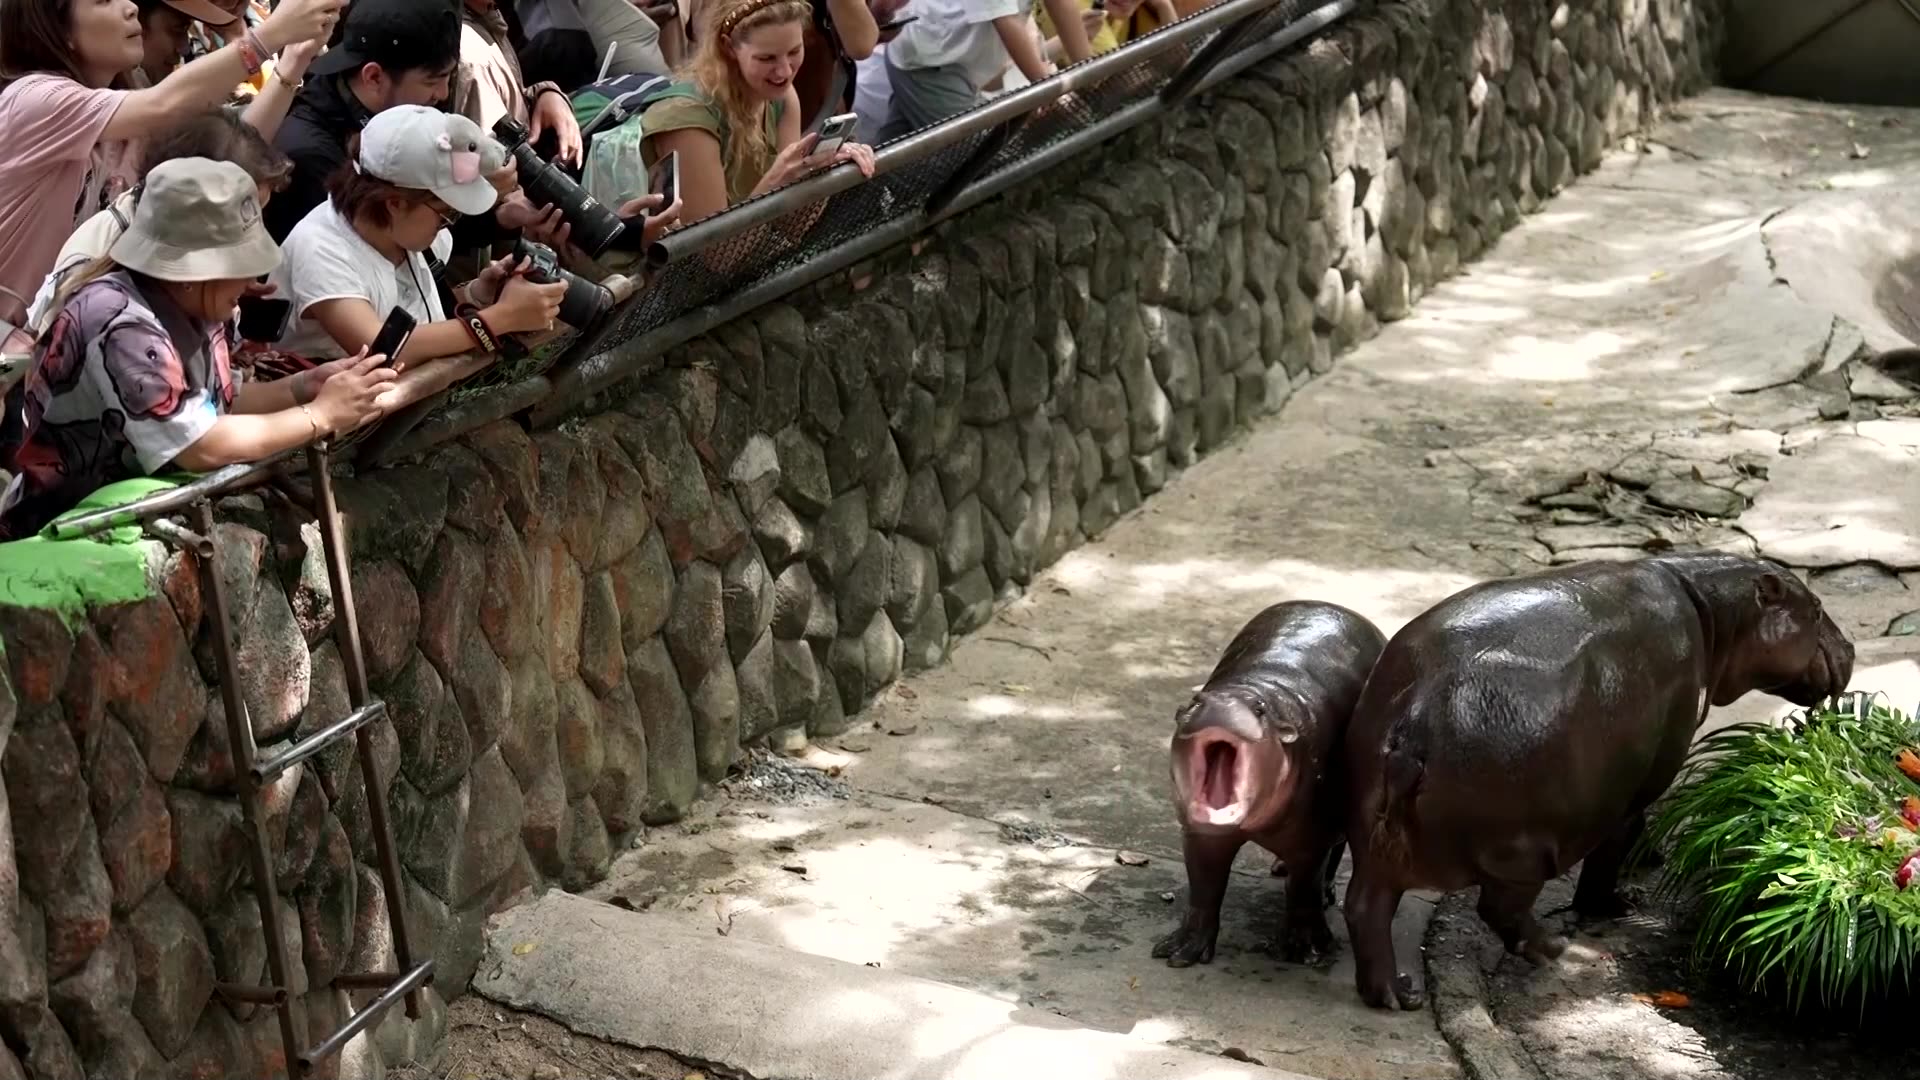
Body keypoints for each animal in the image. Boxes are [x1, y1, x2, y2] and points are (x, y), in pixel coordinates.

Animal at [1153, 600, 1387, 967]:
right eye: (1194, 702)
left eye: (1259, 709)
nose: (1219, 704)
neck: (1253, 686)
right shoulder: (1200, 835)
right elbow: (1204, 886)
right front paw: (1179, 951)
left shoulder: (1311, 839)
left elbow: (1305, 887)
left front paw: (1307, 951)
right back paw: (1280, 868)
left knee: (1333, 855)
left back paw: (1324, 894)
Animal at [1341, 554, 1854, 1010]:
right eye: (1817, 608)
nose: (1851, 649)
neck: (1717, 611)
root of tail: (1415, 718)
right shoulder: (1636, 788)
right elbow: (1621, 840)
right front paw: (1618, 903)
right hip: (1523, 850)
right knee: (1501, 909)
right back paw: (1553, 951)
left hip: (1374, 841)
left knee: (1365, 908)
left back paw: (1395, 995)